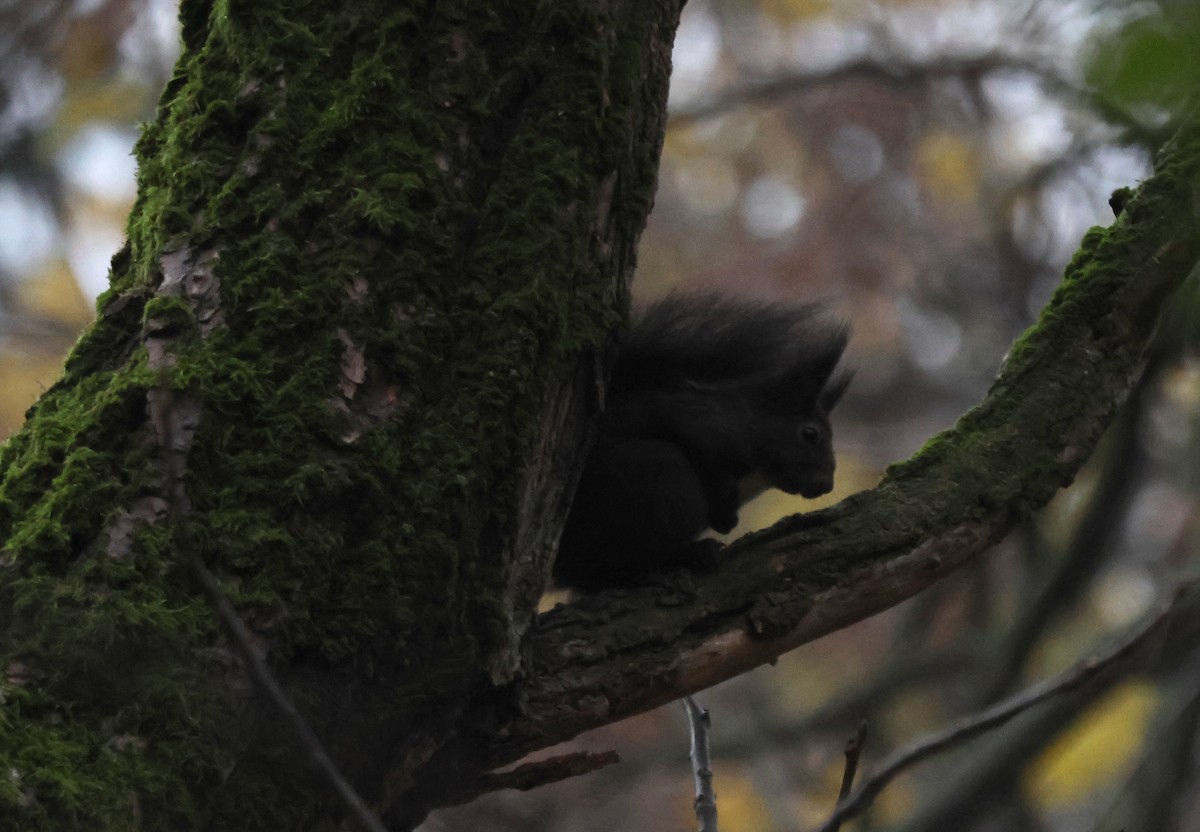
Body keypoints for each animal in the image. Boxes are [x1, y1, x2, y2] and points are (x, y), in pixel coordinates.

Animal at [553, 294, 851, 592]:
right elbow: (709, 464)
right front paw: (726, 518)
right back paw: (686, 555)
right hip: (654, 477)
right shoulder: (699, 423)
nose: (826, 485)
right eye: (810, 434)